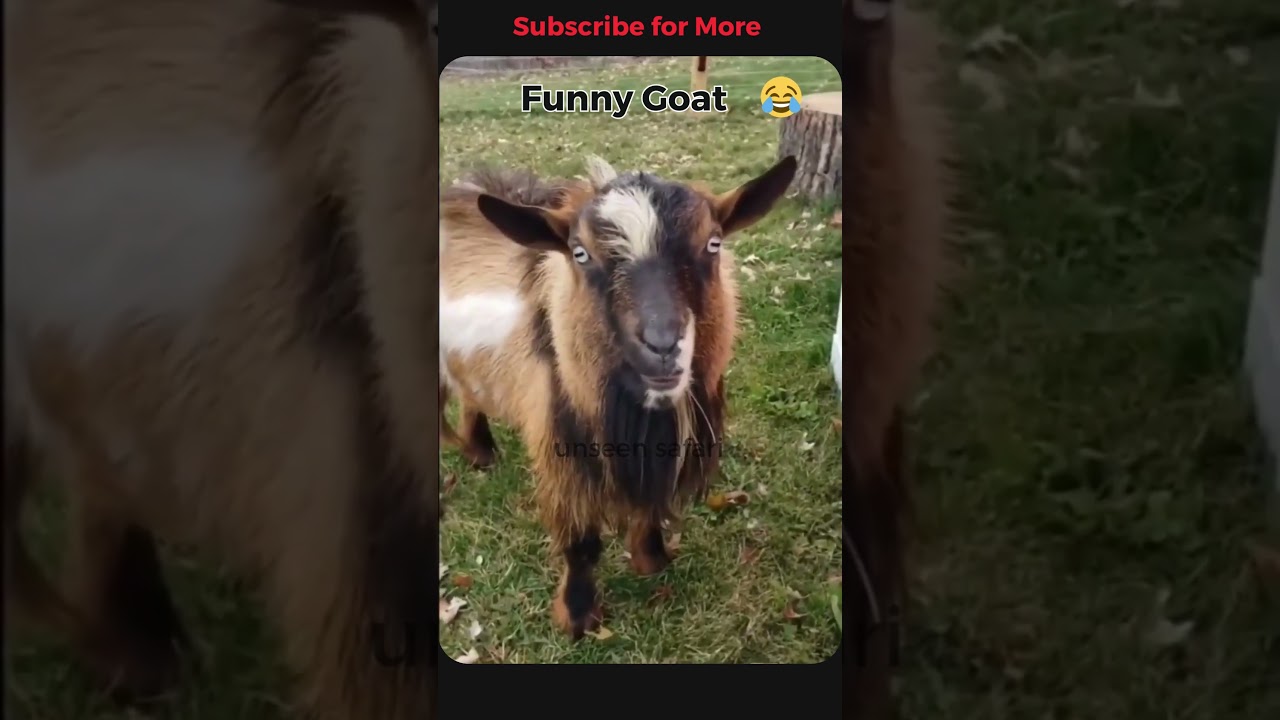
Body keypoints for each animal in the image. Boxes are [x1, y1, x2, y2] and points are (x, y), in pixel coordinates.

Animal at [438, 154, 797, 638]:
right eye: (580, 253)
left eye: (714, 243)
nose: (663, 345)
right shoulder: (563, 450)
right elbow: (581, 542)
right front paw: (577, 617)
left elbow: (649, 507)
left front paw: (653, 560)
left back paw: (481, 453)